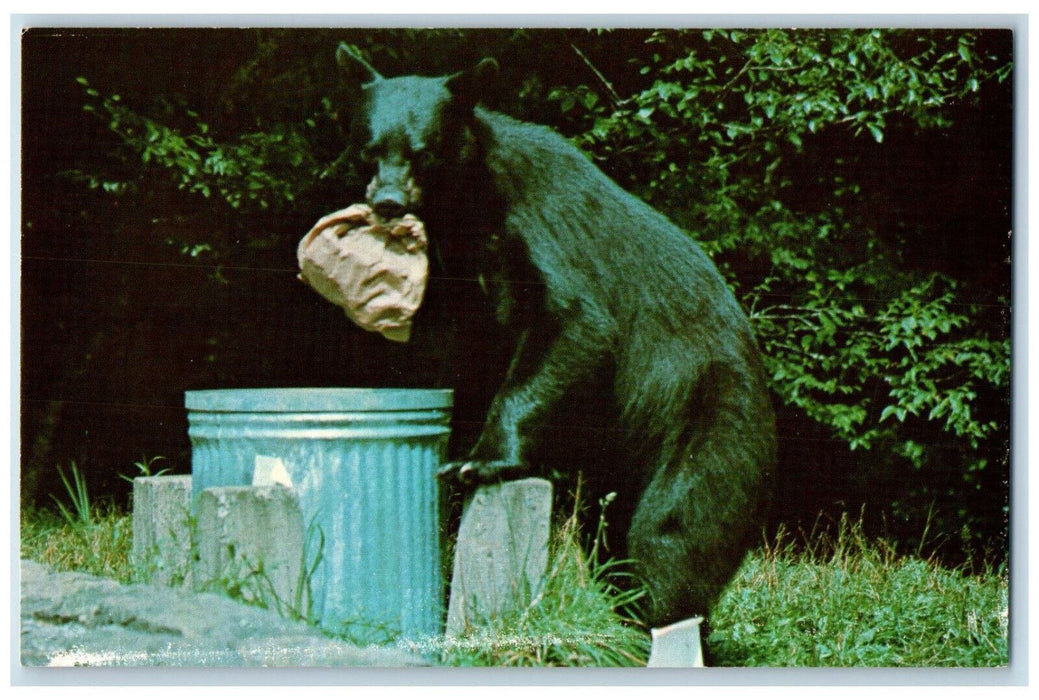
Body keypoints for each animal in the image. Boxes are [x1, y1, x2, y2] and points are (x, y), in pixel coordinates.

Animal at [337, 45, 777, 635]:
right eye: (368, 149)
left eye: (422, 152)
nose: (387, 201)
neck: (469, 207)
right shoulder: (459, 277)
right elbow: (457, 354)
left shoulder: (541, 225)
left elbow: (574, 324)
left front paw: (481, 461)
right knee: (610, 534)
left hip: (709, 413)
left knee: (672, 527)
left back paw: (657, 620)